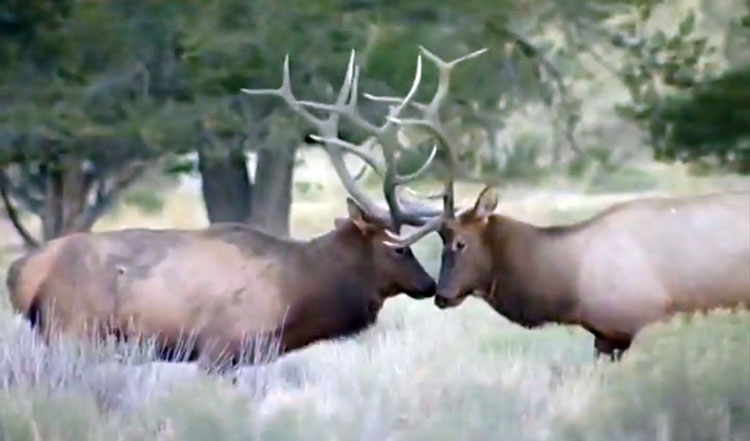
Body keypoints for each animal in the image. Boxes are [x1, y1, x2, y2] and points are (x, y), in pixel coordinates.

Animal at [6, 47, 488, 370]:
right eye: (399, 247)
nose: (430, 285)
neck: (298, 294)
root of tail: (21, 274)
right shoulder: (222, 348)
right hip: (72, 330)